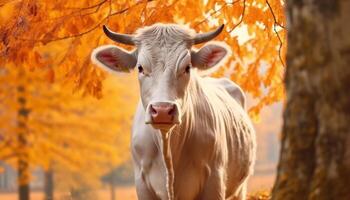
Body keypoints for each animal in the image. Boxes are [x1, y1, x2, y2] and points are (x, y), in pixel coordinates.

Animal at [91, 23, 256, 200]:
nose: (162, 110)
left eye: (187, 67)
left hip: (240, 189)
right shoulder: (142, 184)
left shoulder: (215, 181)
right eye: (140, 68)